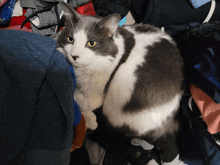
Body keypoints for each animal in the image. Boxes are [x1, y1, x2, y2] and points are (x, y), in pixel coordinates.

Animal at [56, 1, 186, 164]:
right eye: (70, 39)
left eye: (91, 43)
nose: (74, 56)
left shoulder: (99, 92)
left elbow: (86, 102)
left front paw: (90, 121)